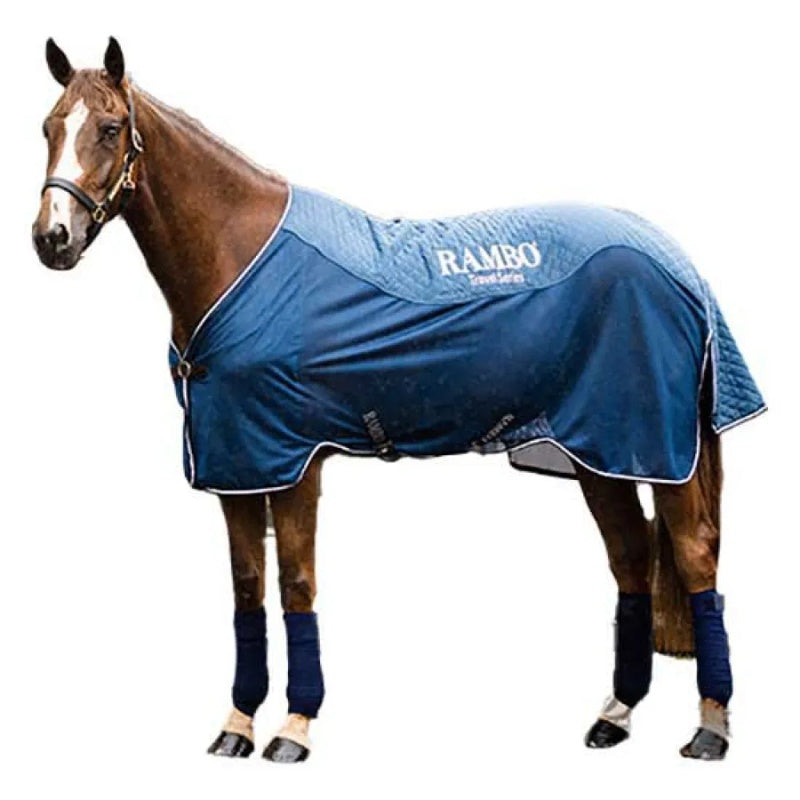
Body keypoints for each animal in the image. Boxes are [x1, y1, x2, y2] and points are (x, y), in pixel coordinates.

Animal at [32, 37, 765, 763]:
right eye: (47, 128)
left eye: (110, 128)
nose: (51, 238)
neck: (238, 258)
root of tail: (675, 259)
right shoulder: (238, 465)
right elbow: (247, 589)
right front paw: (237, 726)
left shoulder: (294, 462)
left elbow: (296, 583)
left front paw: (294, 730)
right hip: (599, 453)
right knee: (632, 559)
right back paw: (615, 715)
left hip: (659, 449)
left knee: (694, 556)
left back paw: (710, 729)